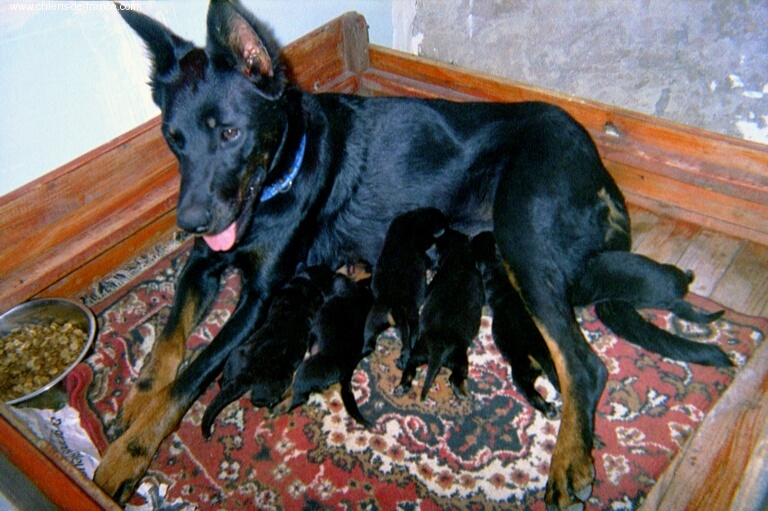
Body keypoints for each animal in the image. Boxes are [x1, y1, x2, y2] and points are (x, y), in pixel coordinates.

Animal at [199, 264, 334, 438]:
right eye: (327, 274)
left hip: (234, 357)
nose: (331, 270)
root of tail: (246, 375)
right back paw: (273, 402)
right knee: (258, 399)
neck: (305, 284)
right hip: (280, 378)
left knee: (222, 381)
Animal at [362, 207, 448, 366]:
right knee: (410, 337)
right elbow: (428, 260)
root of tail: (393, 306)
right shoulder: (422, 252)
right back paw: (406, 355)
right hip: (412, 313)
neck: (416, 218)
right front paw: (435, 264)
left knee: (368, 338)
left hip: (375, 315)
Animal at [395, 229, 484, 401]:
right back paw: (463, 395)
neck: (459, 258)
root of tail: (438, 349)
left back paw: (402, 387)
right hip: (459, 359)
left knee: (410, 369)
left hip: (420, 353)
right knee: (454, 378)